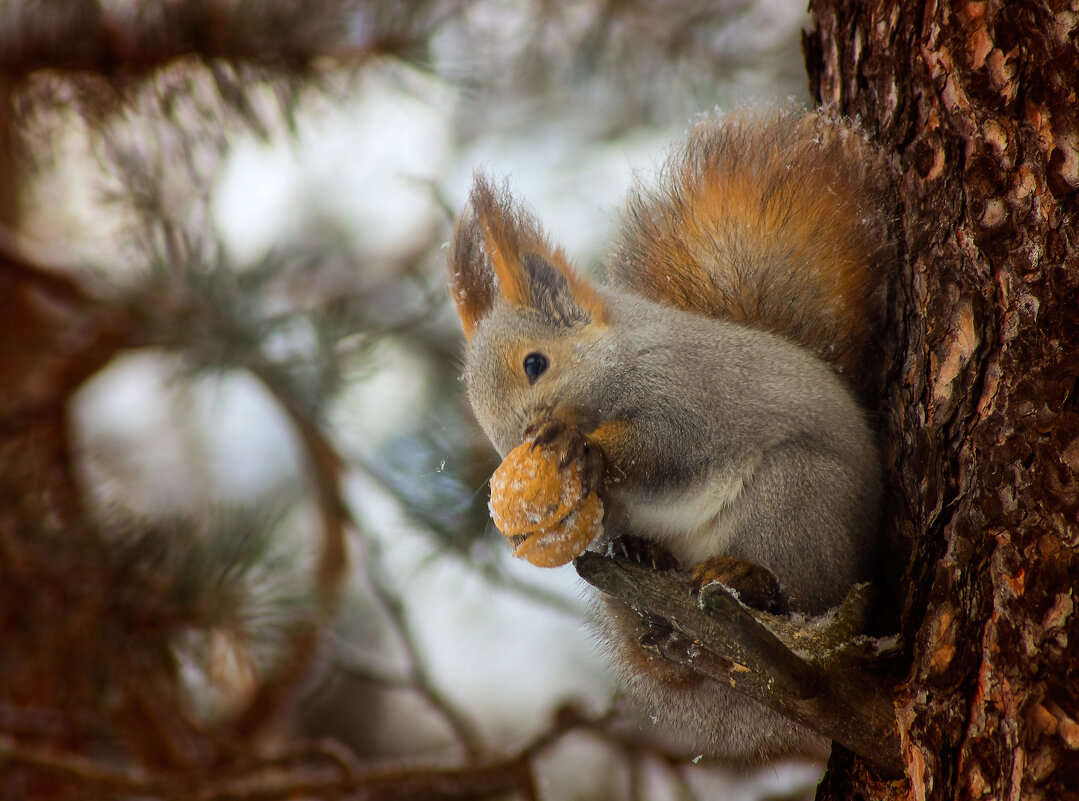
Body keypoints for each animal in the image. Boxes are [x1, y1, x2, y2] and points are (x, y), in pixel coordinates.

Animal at [442, 108, 889, 764]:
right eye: (479, 413)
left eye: (535, 363)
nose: (523, 434)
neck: (618, 362)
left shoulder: (687, 396)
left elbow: (668, 451)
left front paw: (586, 451)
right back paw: (644, 555)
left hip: (796, 499)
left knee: (800, 597)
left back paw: (747, 577)